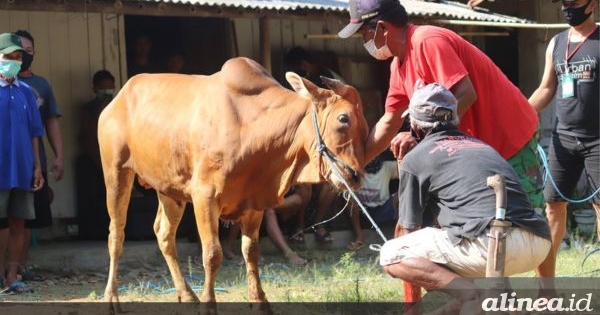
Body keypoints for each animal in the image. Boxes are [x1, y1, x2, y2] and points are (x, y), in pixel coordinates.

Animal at [98, 56, 368, 314]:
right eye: (343, 119)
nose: (355, 176)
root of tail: (118, 98)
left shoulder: (254, 203)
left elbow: (251, 251)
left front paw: (259, 302)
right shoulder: (204, 197)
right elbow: (212, 254)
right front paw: (209, 305)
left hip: (169, 189)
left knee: (164, 234)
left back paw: (186, 295)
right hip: (116, 172)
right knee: (116, 234)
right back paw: (111, 298)